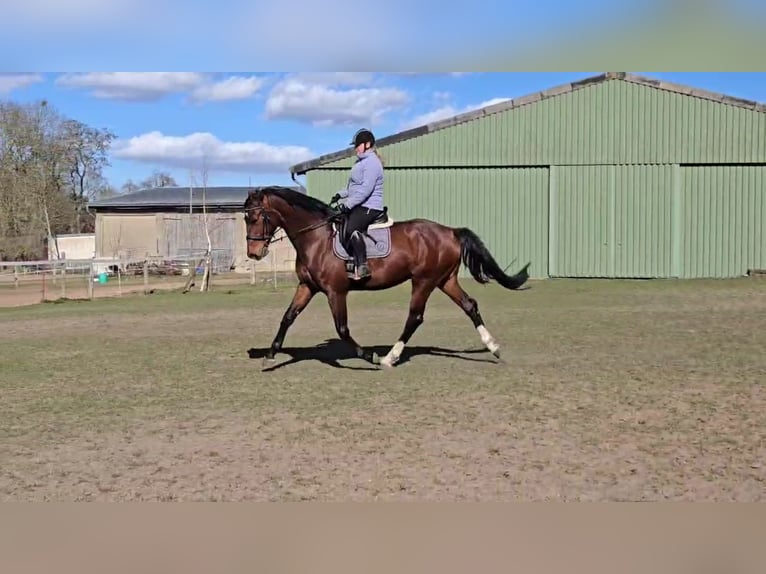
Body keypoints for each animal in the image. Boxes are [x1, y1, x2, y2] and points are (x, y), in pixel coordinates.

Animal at [244, 186, 531, 369]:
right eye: (246, 217)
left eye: (255, 217)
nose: (253, 253)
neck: (316, 238)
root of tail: (450, 231)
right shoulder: (307, 286)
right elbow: (288, 317)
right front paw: (270, 355)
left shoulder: (336, 291)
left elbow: (343, 328)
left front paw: (367, 355)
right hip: (444, 280)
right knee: (470, 305)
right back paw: (493, 347)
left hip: (424, 281)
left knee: (415, 317)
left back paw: (389, 358)